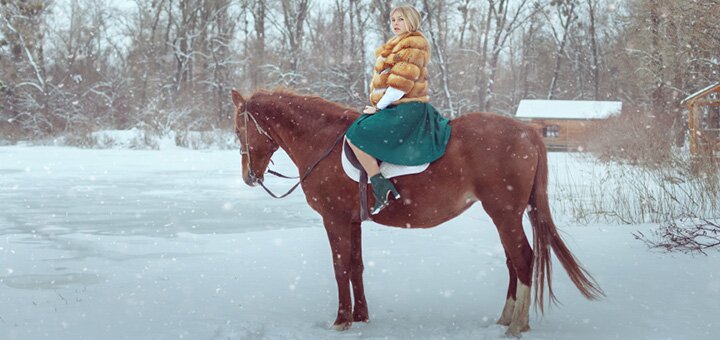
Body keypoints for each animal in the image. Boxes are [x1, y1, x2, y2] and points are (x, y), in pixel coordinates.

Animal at [231, 89, 600, 336]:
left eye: (238, 129)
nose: (249, 177)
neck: (323, 140)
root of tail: (529, 132)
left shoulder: (334, 219)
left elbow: (340, 268)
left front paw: (340, 321)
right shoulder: (352, 221)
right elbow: (356, 267)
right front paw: (361, 316)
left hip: (504, 213)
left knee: (523, 259)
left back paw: (517, 326)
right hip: (505, 215)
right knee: (514, 261)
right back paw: (506, 318)